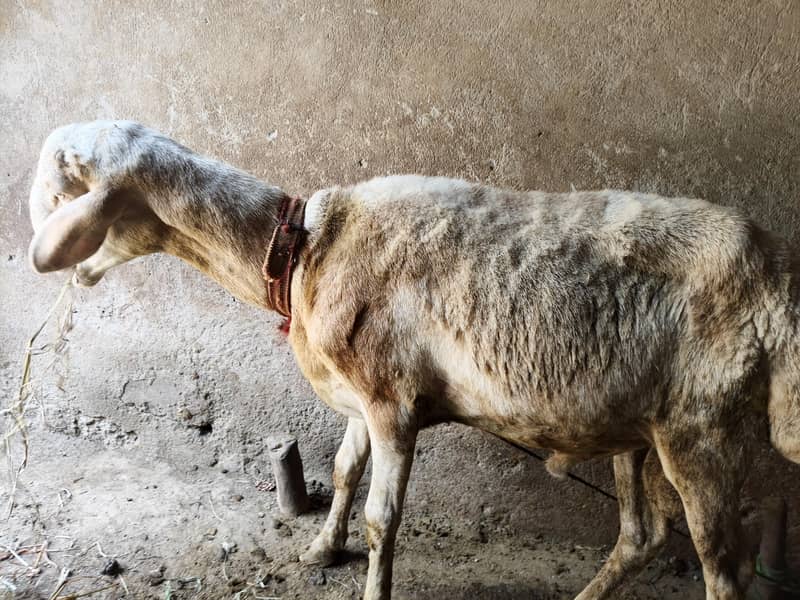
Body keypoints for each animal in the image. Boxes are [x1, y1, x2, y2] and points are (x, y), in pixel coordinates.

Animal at [27, 120, 800, 600]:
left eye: (65, 193)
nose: (53, 265)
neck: (303, 249)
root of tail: (774, 276)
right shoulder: (358, 397)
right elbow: (343, 469)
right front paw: (320, 550)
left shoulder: (390, 400)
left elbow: (383, 516)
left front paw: (366, 575)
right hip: (638, 426)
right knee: (642, 536)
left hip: (704, 429)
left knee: (722, 570)